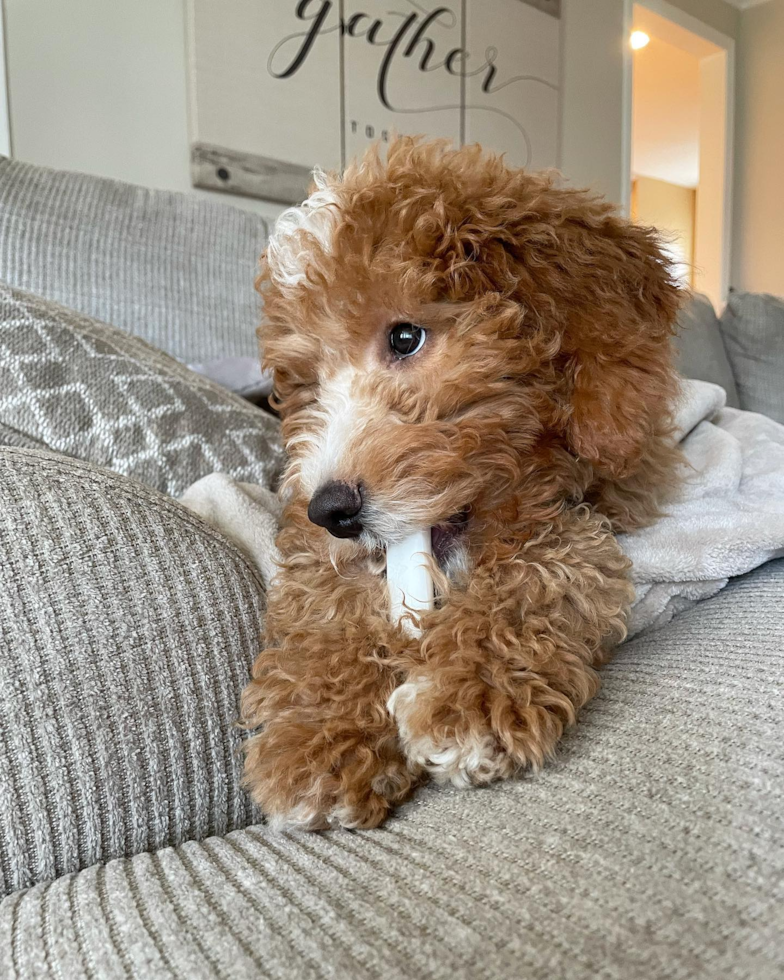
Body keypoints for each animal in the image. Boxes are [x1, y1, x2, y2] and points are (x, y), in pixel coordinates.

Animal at [242, 138, 684, 828]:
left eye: (405, 337)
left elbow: (553, 564)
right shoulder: (319, 542)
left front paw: (468, 697)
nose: (331, 511)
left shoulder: (611, 496)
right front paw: (319, 735)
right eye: (307, 384)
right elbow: (327, 599)